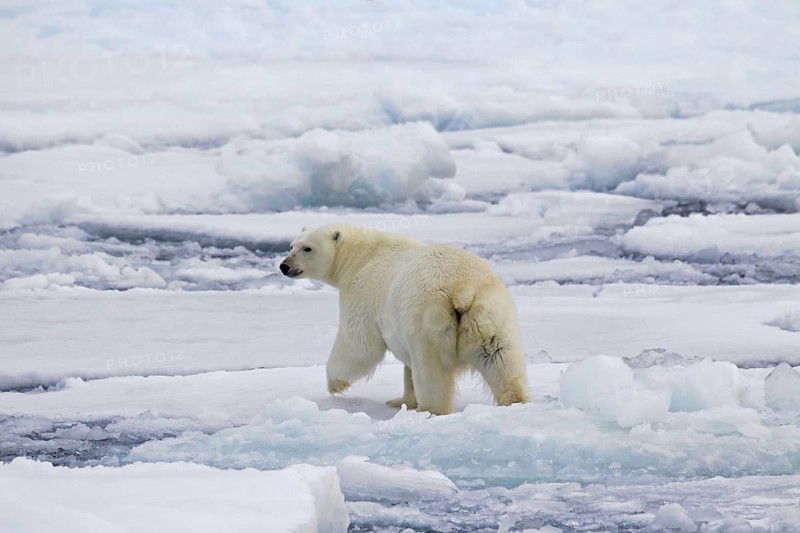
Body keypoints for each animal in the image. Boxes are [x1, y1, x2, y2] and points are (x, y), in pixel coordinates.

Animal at [279, 224, 529, 415]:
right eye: (291, 246)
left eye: (307, 248)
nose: (284, 266)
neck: (360, 255)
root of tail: (462, 290)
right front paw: (401, 401)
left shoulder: (363, 291)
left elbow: (359, 344)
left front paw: (335, 384)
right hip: (489, 315)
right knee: (500, 358)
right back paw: (515, 399)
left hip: (430, 321)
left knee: (431, 372)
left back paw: (430, 409)